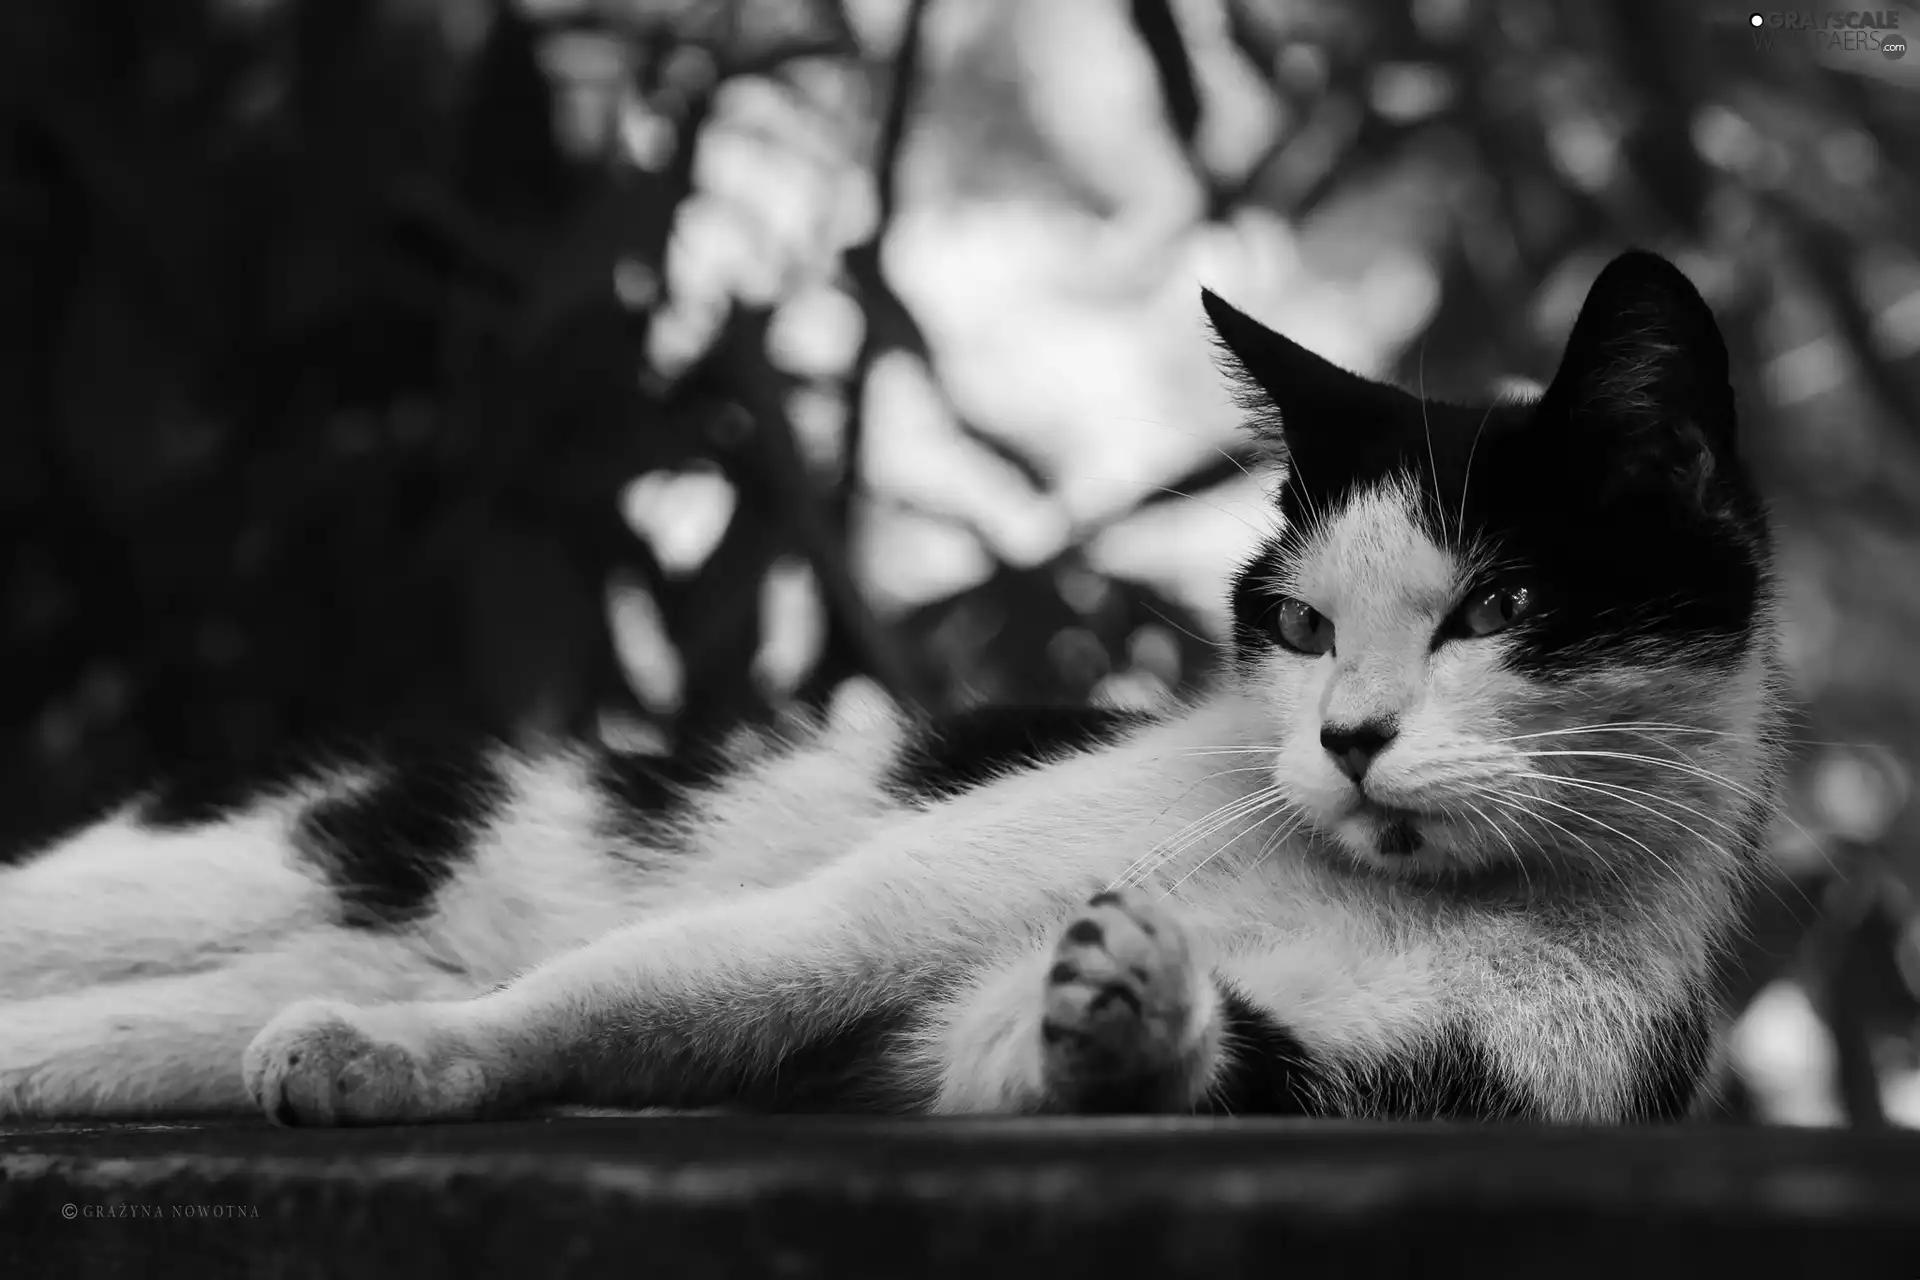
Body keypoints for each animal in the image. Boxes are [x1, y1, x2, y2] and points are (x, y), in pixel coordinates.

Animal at [0, 247, 1781, 1120]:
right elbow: (647, 987)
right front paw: (389, 1063)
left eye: (1508, 606)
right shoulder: (874, 908)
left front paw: (1140, 1009)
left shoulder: (1438, 1075)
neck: (1395, 894)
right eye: (1298, 630)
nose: (1344, 741)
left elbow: (1050, 1058)